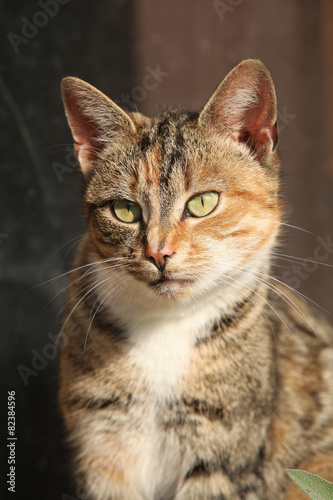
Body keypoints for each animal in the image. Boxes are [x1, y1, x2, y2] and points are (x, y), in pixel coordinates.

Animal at [57, 60, 332, 498]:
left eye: (203, 203)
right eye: (124, 210)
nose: (158, 253)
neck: (165, 326)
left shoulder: (224, 456)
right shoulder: (101, 440)